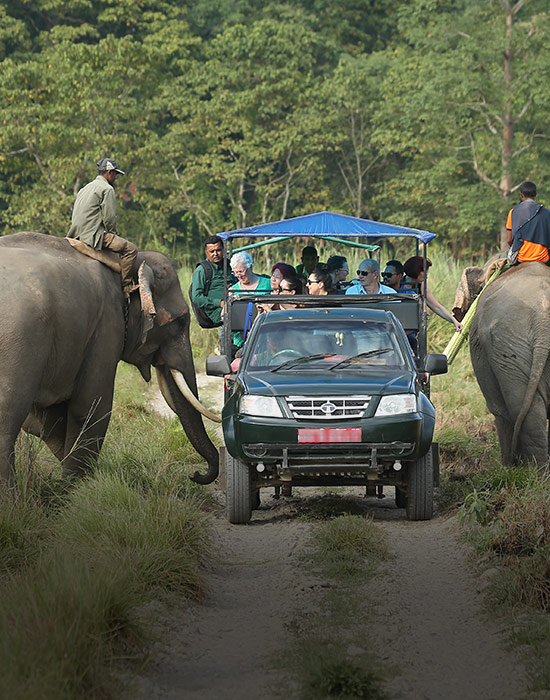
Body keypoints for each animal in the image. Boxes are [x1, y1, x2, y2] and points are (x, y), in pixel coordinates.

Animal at [0, 232, 220, 484]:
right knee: (8, 420)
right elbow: (92, 407)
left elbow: (45, 420)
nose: (195, 474)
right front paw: (74, 487)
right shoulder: (106, 327)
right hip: (19, 341)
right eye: (182, 321)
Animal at [454, 260, 550, 468]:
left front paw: (508, 467)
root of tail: (544, 318)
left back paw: (531, 471)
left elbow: (498, 410)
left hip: (507, 342)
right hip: (510, 344)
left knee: (518, 409)